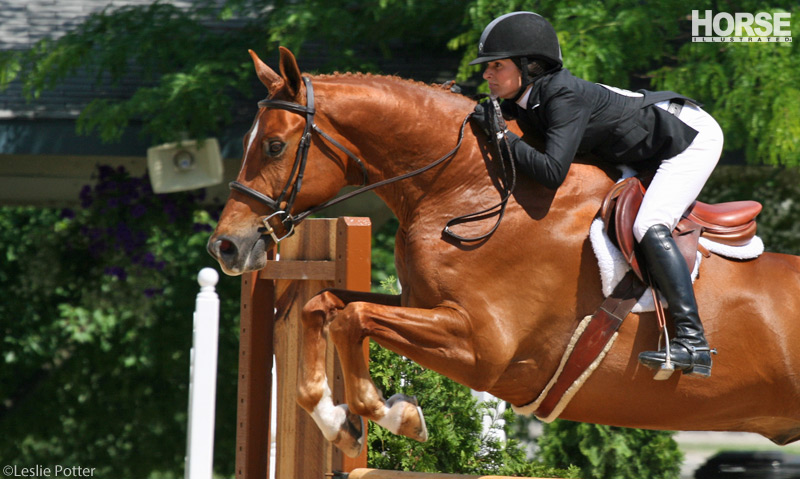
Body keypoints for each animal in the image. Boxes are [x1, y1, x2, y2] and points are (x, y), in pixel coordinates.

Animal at [208, 47, 800, 458]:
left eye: (275, 145)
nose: (227, 245)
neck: (466, 188)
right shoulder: (423, 304)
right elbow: (323, 306)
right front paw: (339, 423)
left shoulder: (483, 347)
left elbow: (352, 318)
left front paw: (394, 414)